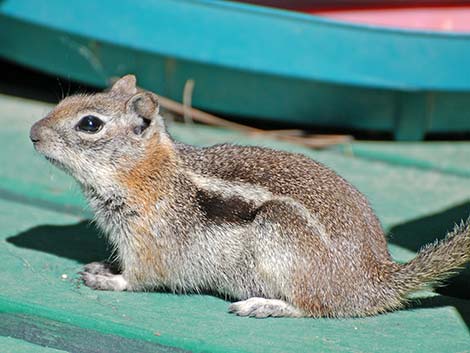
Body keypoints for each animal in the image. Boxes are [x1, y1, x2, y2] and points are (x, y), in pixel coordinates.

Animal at [30, 75, 470, 318]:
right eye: (67, 101)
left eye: (89, 124)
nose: (33, 133)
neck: (150, 175)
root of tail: (375, 279)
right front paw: (104, 266)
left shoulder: (149, 244)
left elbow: (141, 278)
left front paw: (109, 280)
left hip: (281, 238)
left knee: (316, 307)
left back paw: (264, 305)